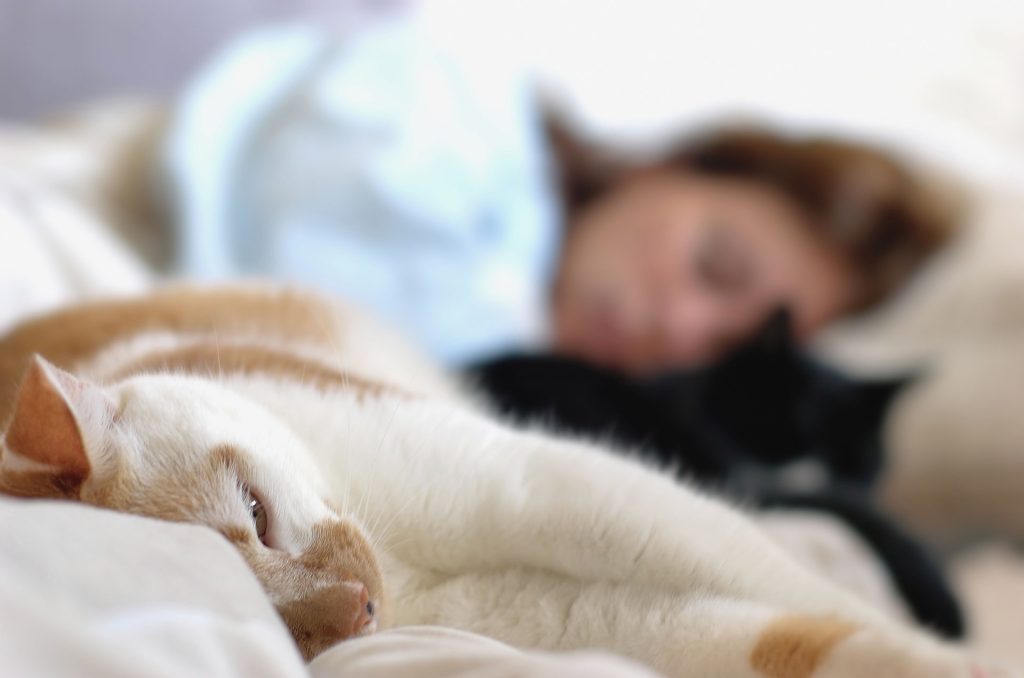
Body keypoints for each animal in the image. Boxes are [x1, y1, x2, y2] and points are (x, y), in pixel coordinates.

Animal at [0, 284, 1011, 675]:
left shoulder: (558, 489)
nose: (360, 608)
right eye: (282, 635)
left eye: (256, 509)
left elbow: (773, 576)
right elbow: (789, 639)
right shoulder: (591, 625)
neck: (406, 563)